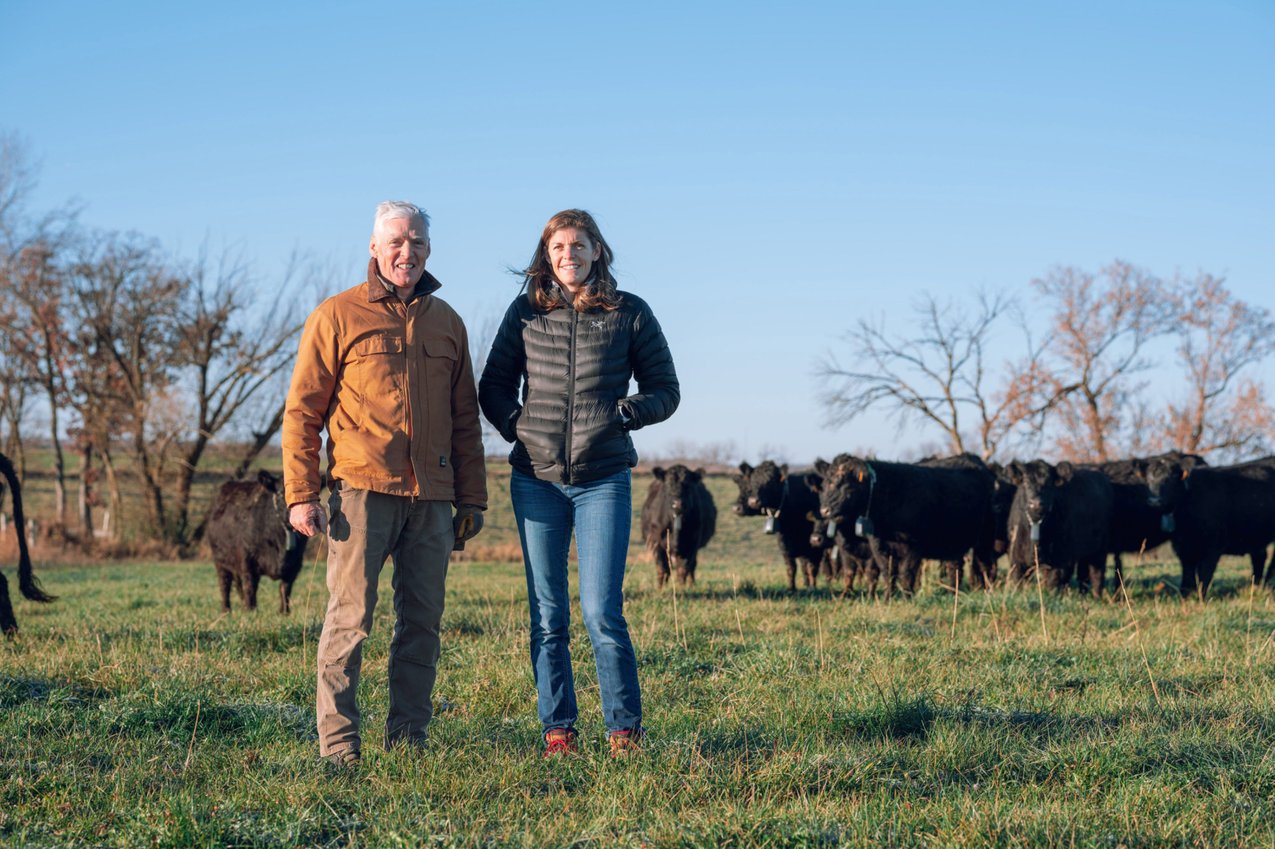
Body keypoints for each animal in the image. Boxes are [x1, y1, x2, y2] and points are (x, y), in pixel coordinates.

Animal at [207, 470, 309, 613]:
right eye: (280, 493)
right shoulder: (247, 560)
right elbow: (250, 587)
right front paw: (250, 610)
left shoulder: (295, 564)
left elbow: (285, 589)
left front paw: (284, 611)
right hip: (220, 561)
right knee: (225, 585)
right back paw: (226, 609)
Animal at [732, 461, 838, 591]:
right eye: (752, 481)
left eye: (771, 482)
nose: (753, 501)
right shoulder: (785, 545)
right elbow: (792, 568)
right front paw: (792, 588)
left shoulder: (815, 544)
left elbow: (812, 568)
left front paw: (812, 588)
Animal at [815, 454, 998, 600]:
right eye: (824, 485)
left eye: (846, 486)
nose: (824, 510)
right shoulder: (878, 545)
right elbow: (887, 572)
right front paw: (887, 598)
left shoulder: (914, 545)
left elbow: (906, 572)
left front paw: (906, 598)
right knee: (955, 566)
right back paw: (954, 592)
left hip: (986, 537)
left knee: (984, 564)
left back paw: (987, 590)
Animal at [1005, 460, 1113, 596]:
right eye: (1025, 481)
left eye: (1049, 483)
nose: (1036, 503)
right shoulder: (1016, 557)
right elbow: (1017, 582)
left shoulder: (1059, 559)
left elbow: (1052, 584)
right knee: (1082, 574)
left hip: (1099, 549)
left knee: (1096, 574)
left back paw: (1096, 596)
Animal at [1145, 454, 1275, 598]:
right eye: (1149, 480)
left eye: (1170, 479)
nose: (1154, 501)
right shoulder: (1183, 547)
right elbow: (1188, 574)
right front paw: (1184, 596)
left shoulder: (1213, 547)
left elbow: (1204, 574)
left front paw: (1200, 598)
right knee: (1260, 557)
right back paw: (1257, 587)